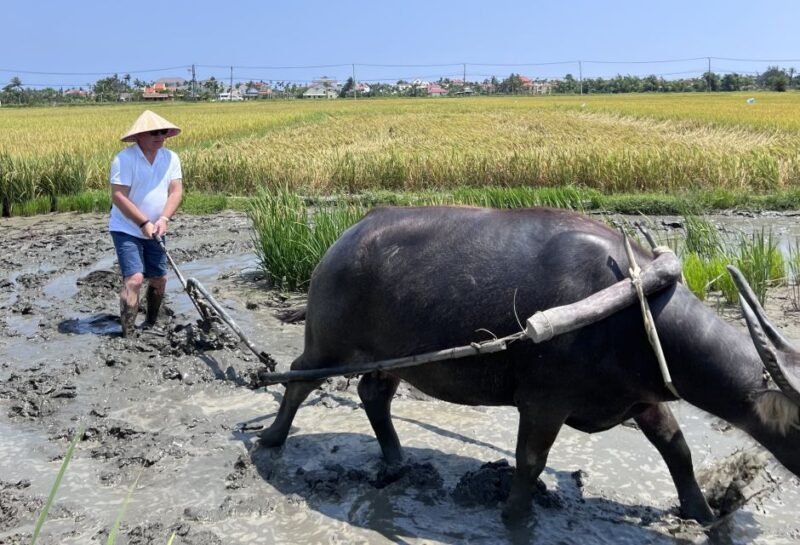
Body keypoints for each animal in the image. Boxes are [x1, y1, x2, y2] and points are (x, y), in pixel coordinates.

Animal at [259, 206, 800, 522]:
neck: (632, 309)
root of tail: (342, 240)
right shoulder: (544, 402)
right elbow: (530, 459)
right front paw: (515, 516)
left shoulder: (642, 399)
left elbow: (677, 450)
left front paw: (702, 512)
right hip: (326, 344)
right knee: (296, 380)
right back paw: (270, 439)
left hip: (391, 358)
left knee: (374, 395)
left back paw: (394, 459)